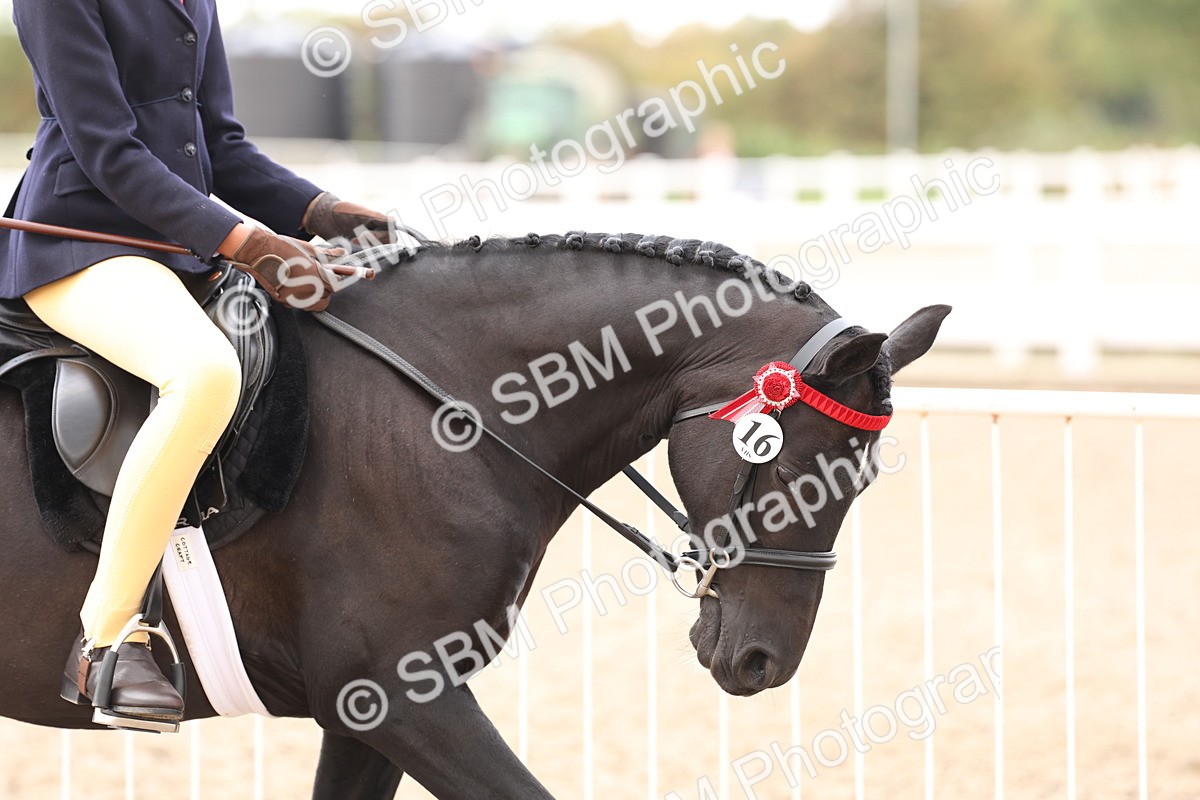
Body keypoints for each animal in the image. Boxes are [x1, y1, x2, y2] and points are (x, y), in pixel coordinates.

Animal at [0, 229, 949, 798]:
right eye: (787, 462)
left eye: (861, 480)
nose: (762, 662)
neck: (443, 412)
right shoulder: (400, 693)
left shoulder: (368, 714)